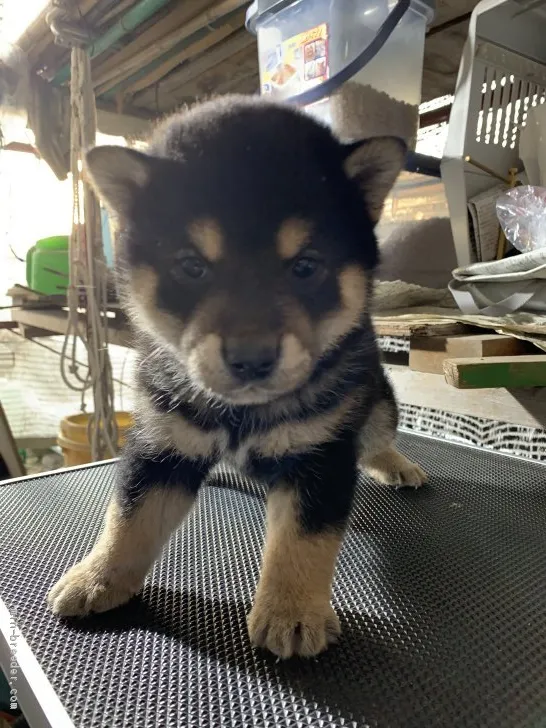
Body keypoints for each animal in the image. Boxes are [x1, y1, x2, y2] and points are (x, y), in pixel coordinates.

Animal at [46, 95, 424, 660]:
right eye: (191, 267)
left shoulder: (321, 456)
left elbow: (302, 543)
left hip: (375, 402)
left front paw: (291, 612)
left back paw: (397, 464)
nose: (251, 359)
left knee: (378, 437)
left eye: (306, 266)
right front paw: (98, 577)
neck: (244, 412)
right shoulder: (162, 445)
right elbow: (128, 518)